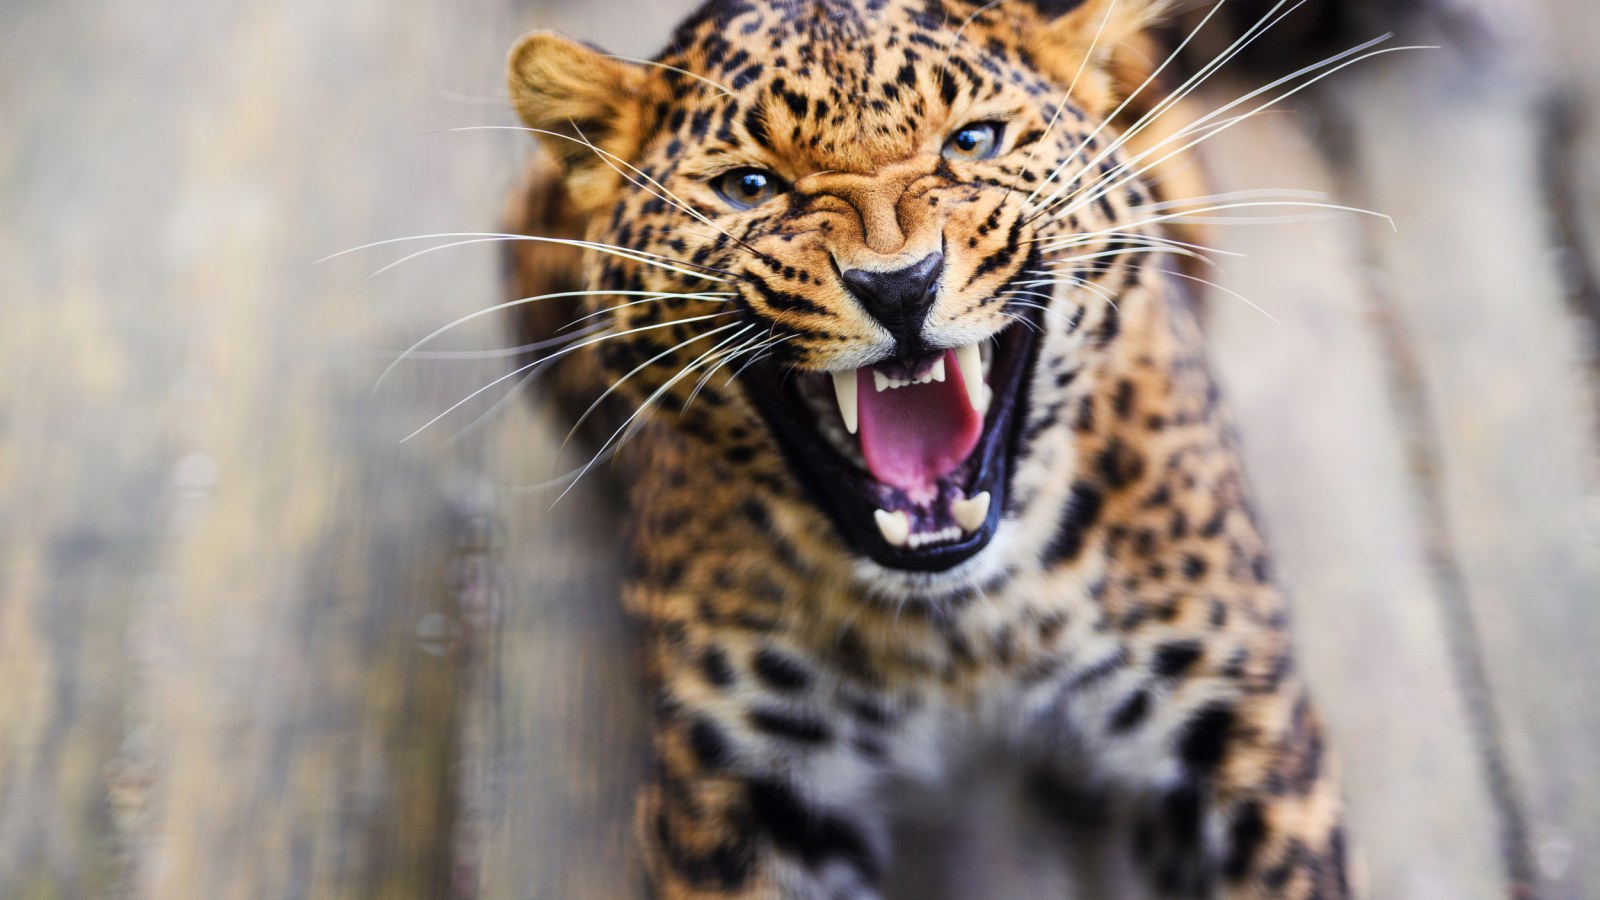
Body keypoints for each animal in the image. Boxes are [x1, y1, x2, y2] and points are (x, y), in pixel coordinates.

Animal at [499, 3, 1350, 890]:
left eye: (973, 142)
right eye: (749, 187)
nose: (900, 286)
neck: (965, 630)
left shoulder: (1241, 730)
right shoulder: (736, 793)